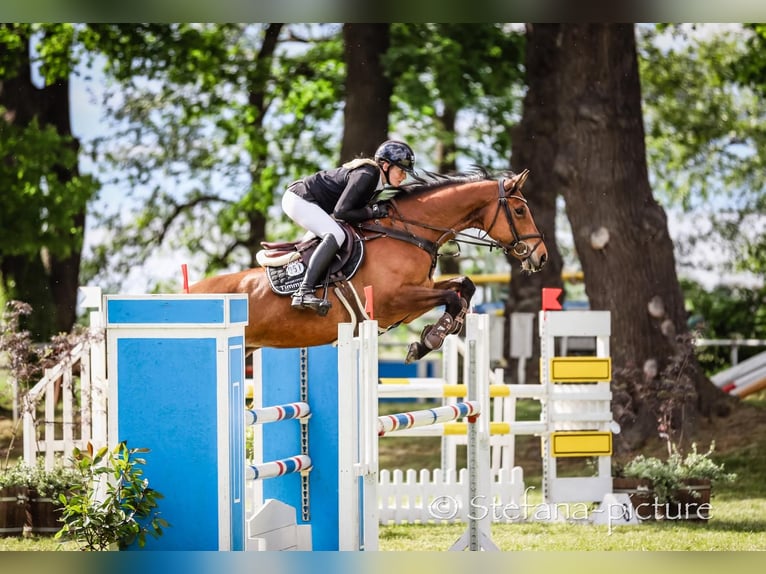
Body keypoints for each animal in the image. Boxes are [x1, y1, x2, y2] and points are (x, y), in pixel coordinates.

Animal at [192, 168, 552, 364]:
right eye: (520, 211)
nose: (541, 256)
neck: (408, 232)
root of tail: (188, 290)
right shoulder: (394, 300)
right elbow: (452, 296)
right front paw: (430, 339)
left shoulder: (417, 293)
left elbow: (463, 286)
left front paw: (432, 336)